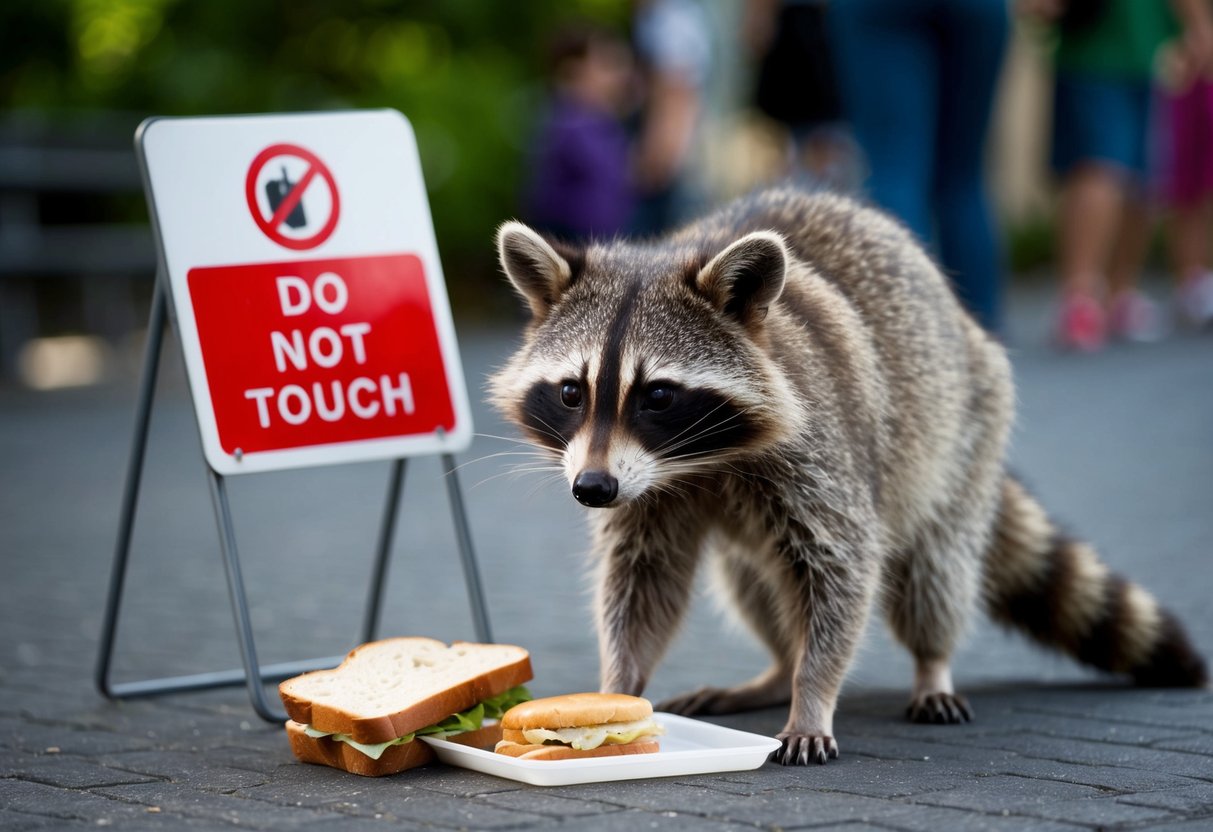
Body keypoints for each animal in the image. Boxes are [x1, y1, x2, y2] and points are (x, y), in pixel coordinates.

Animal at [489, 186, 1208, 765]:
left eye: (658, 395)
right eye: (572, 392)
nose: (591, 490)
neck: (698, 461)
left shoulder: (821, 455)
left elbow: (841, 572)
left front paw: (813, 693)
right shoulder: (643, 490)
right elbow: (641, 580)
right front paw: (614, 687)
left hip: (964, 431)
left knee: (932, 569)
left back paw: (929, 666)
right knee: (753, 581)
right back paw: (777, 669)